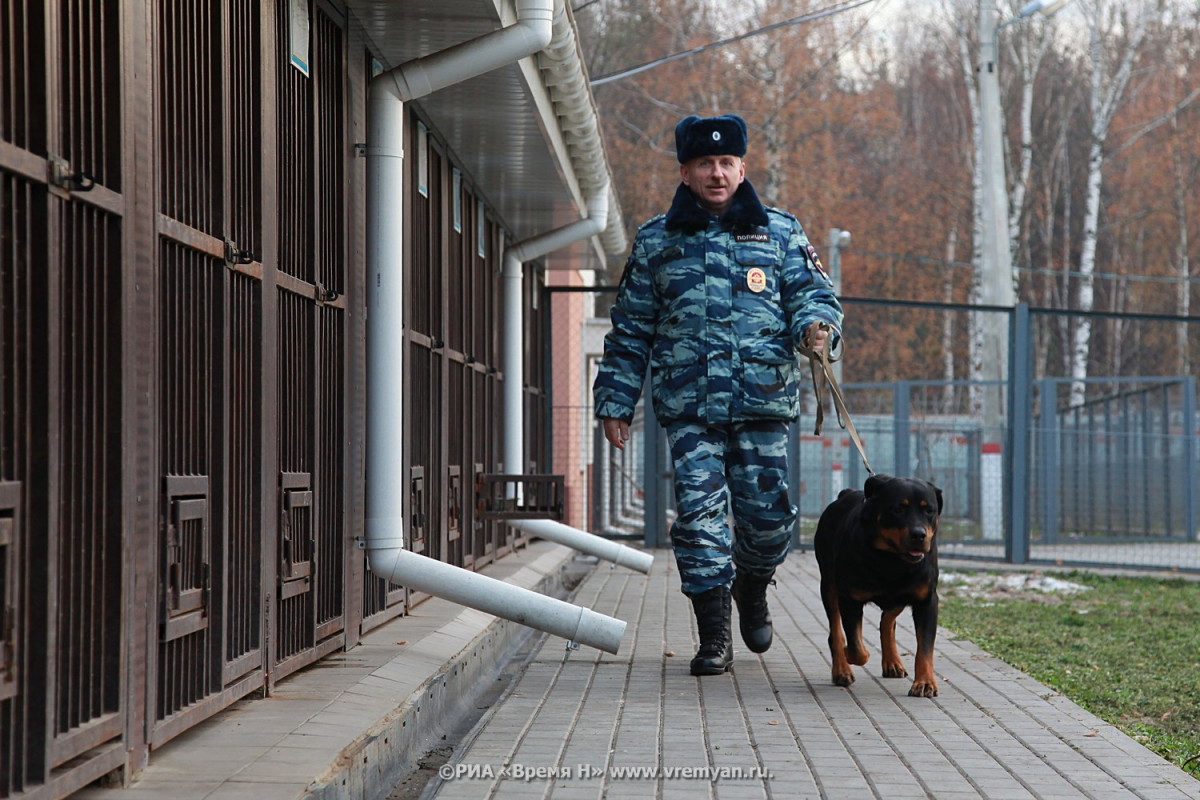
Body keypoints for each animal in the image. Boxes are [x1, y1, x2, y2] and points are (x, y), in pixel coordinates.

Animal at [811, 474, 940, 695]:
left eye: (929, 510)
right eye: (897, 509)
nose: (919, 534)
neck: (891, 561)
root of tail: (844, 494)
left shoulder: (927, 600)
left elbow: (925, 649)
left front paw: (924, 683)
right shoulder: (850, 598)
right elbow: (855, 646)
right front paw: (849, 653)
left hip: (900, 595)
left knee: (887, 620)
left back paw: (892, 662)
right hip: (828, 584)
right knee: (836, 632)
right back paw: (841, 670)